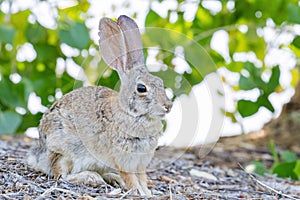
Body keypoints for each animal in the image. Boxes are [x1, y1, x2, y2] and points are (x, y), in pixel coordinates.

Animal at [28, 15, 173, 197]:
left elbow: (142, 177)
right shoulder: (123, 159)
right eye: (141, 88)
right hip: (62, 151)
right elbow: (131, 178)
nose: (168, 106)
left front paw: (147, 192)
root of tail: (39, 154)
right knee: (61, 176)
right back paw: (91, 177)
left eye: (160, 83)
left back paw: (112, 178)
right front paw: (138, 191)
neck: (132, 115)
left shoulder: (140, 162)